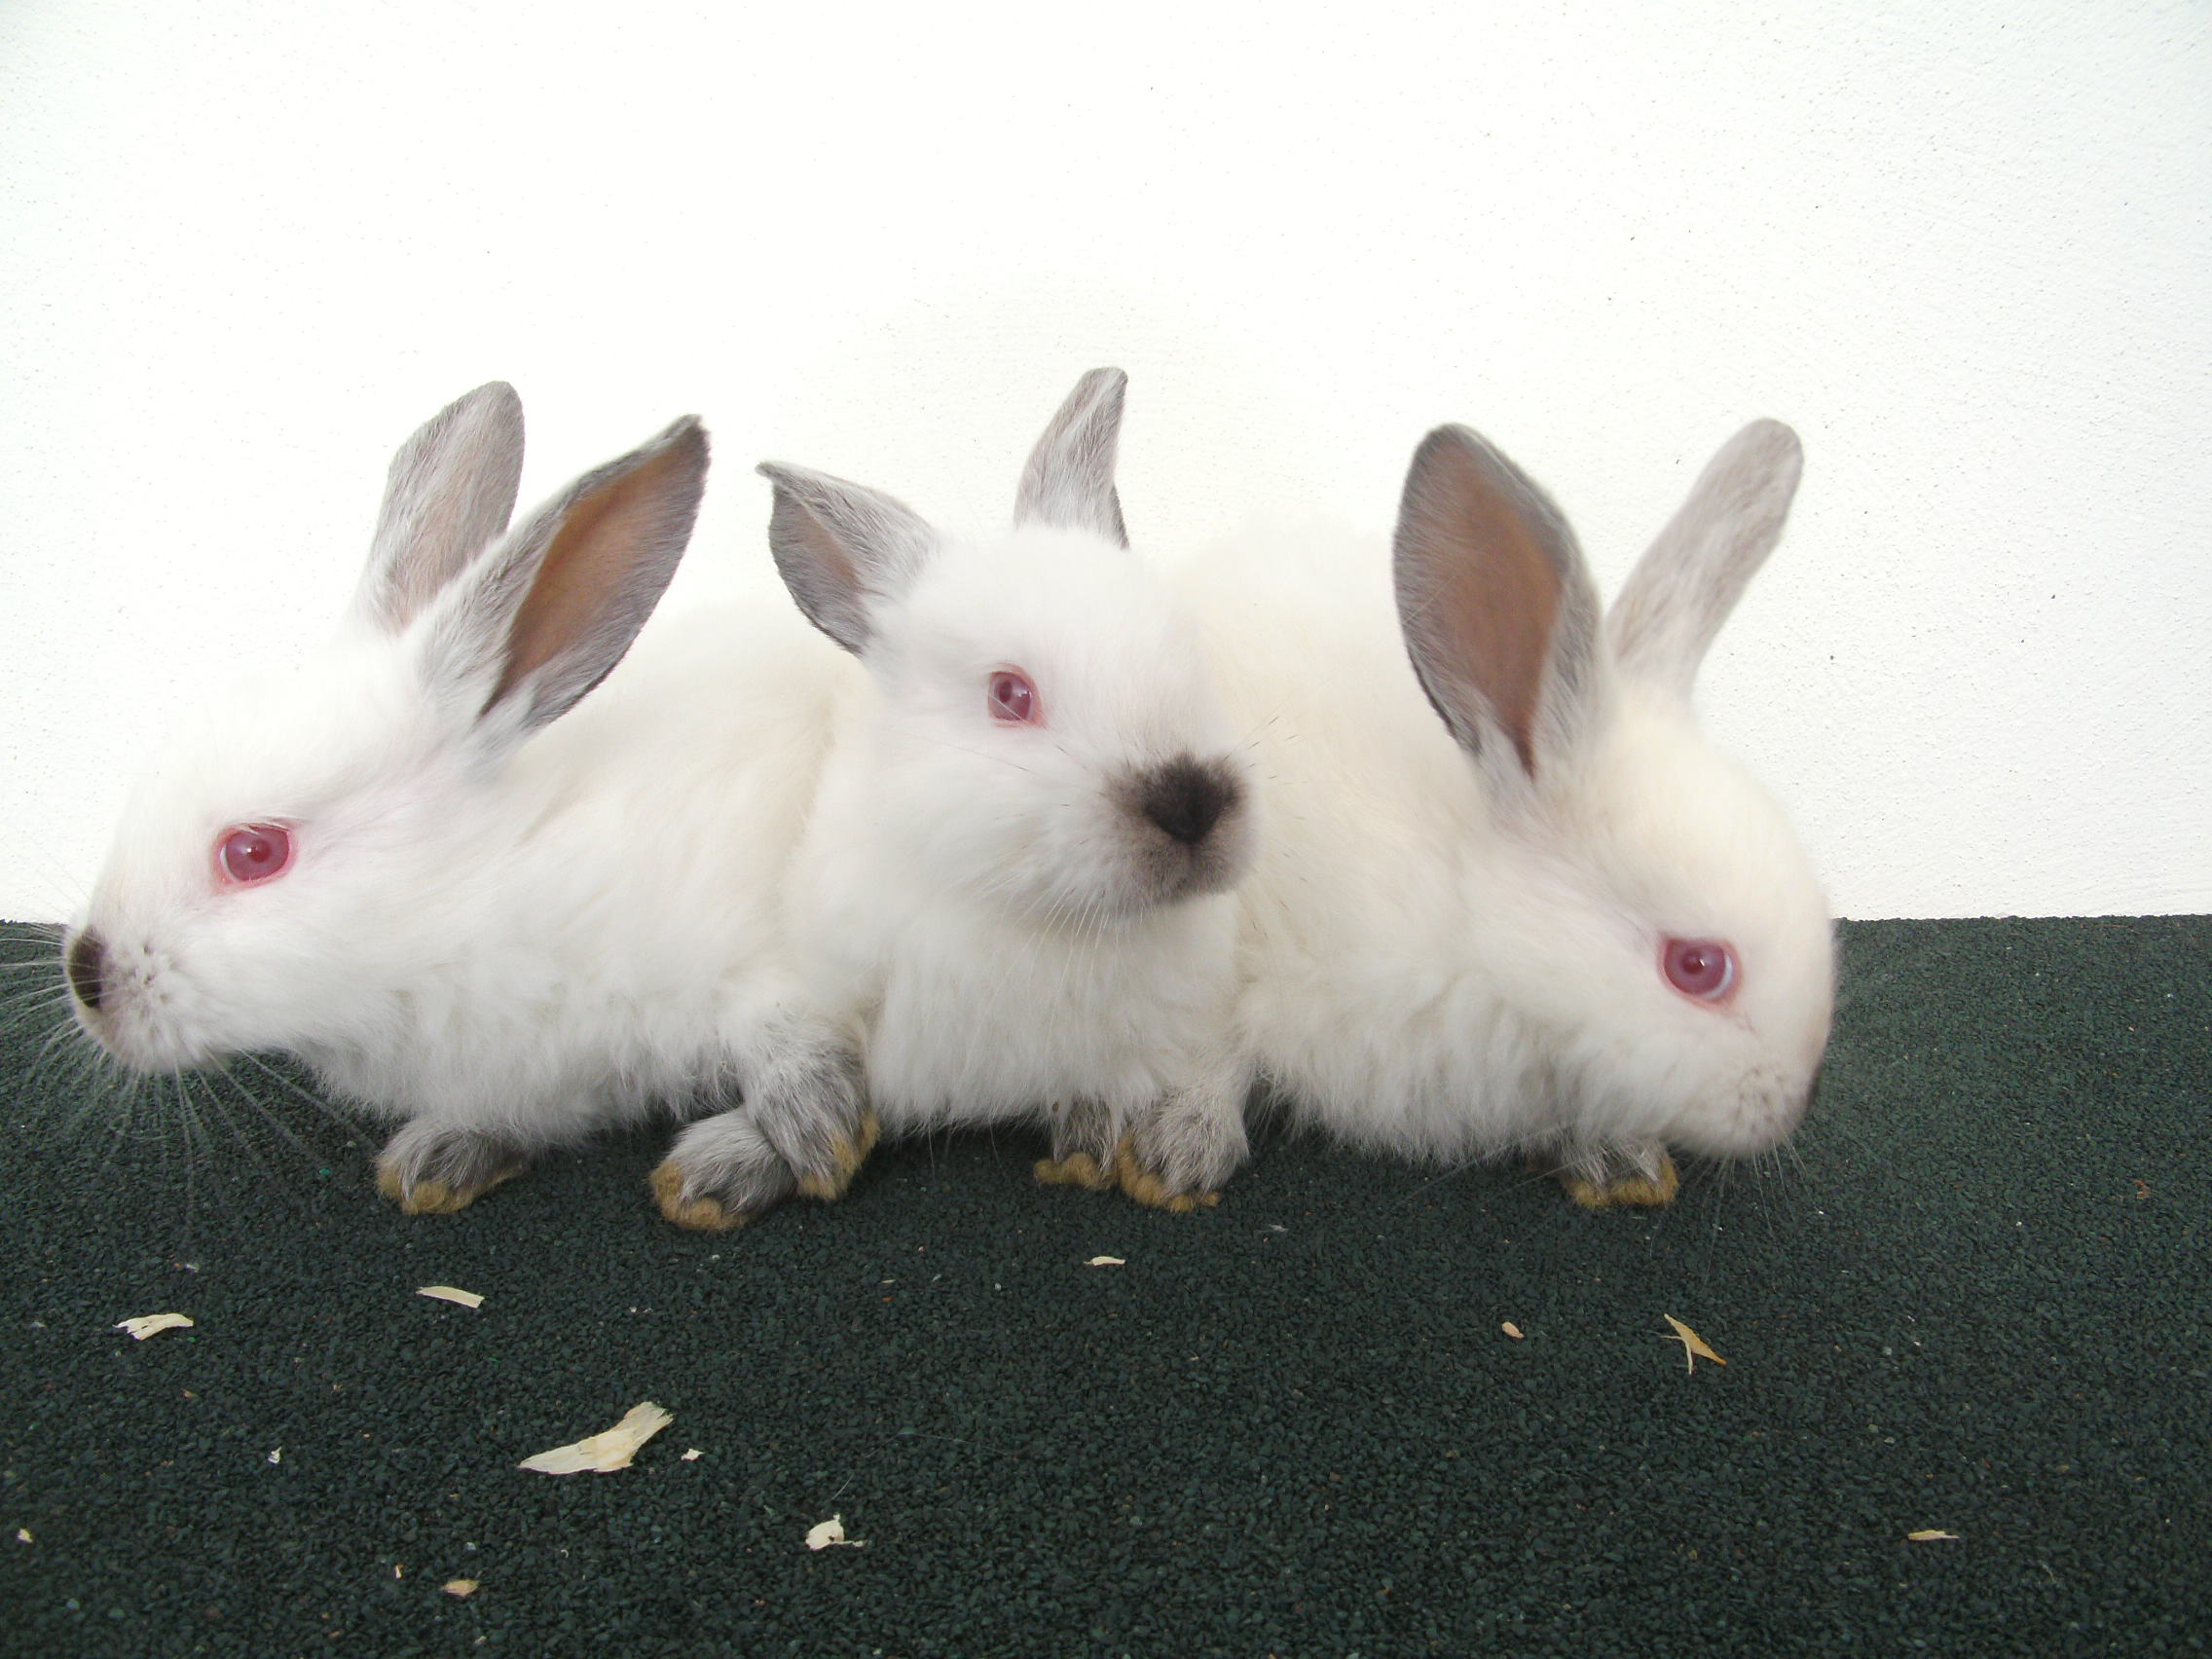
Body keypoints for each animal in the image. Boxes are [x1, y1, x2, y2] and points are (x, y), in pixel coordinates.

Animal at [60, 383, 880, 1217]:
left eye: (254, 852)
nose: (87, 980)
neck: (489, 888)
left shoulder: (772, 960)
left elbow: (798, 1051)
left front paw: (794, 1146)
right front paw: (433, 1161)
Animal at [651, 369, 1259, 1226]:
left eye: (1183, 649)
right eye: (1009, 694)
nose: (1192, 804)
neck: (1029, 913)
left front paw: (1144, 1144)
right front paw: (756, 1153)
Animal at [1179, 418, 1833, 1207]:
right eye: (1697, 967)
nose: (1790, 1105)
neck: (1471, 919)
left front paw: (1618, 1159)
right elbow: (1207, 1047)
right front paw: (1182, 1149)